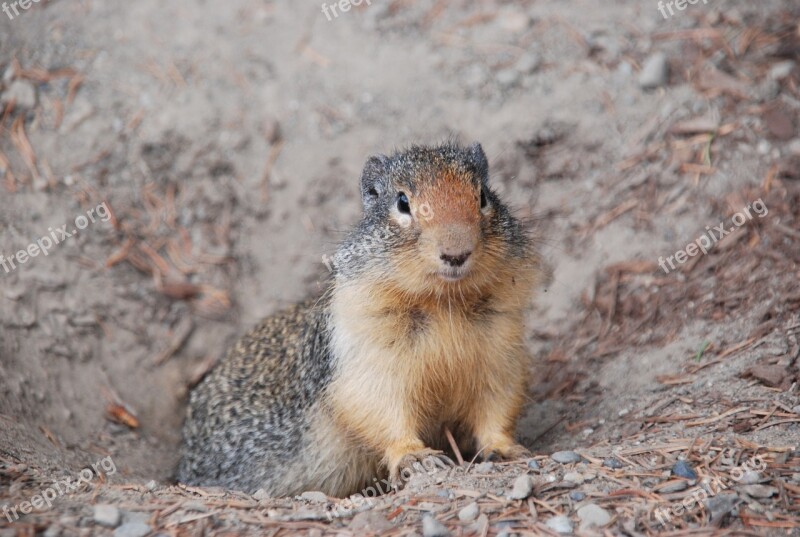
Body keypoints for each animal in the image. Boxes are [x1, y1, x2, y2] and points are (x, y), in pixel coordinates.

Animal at [178, 140, 548, 496]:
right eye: (402, 202)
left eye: (483, 195)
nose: (456, 252)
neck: (444, 303)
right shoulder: (367, 355)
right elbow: (381, 407)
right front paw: (416, 457)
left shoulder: (500, 350)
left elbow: (496, 404)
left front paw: (505, 449)